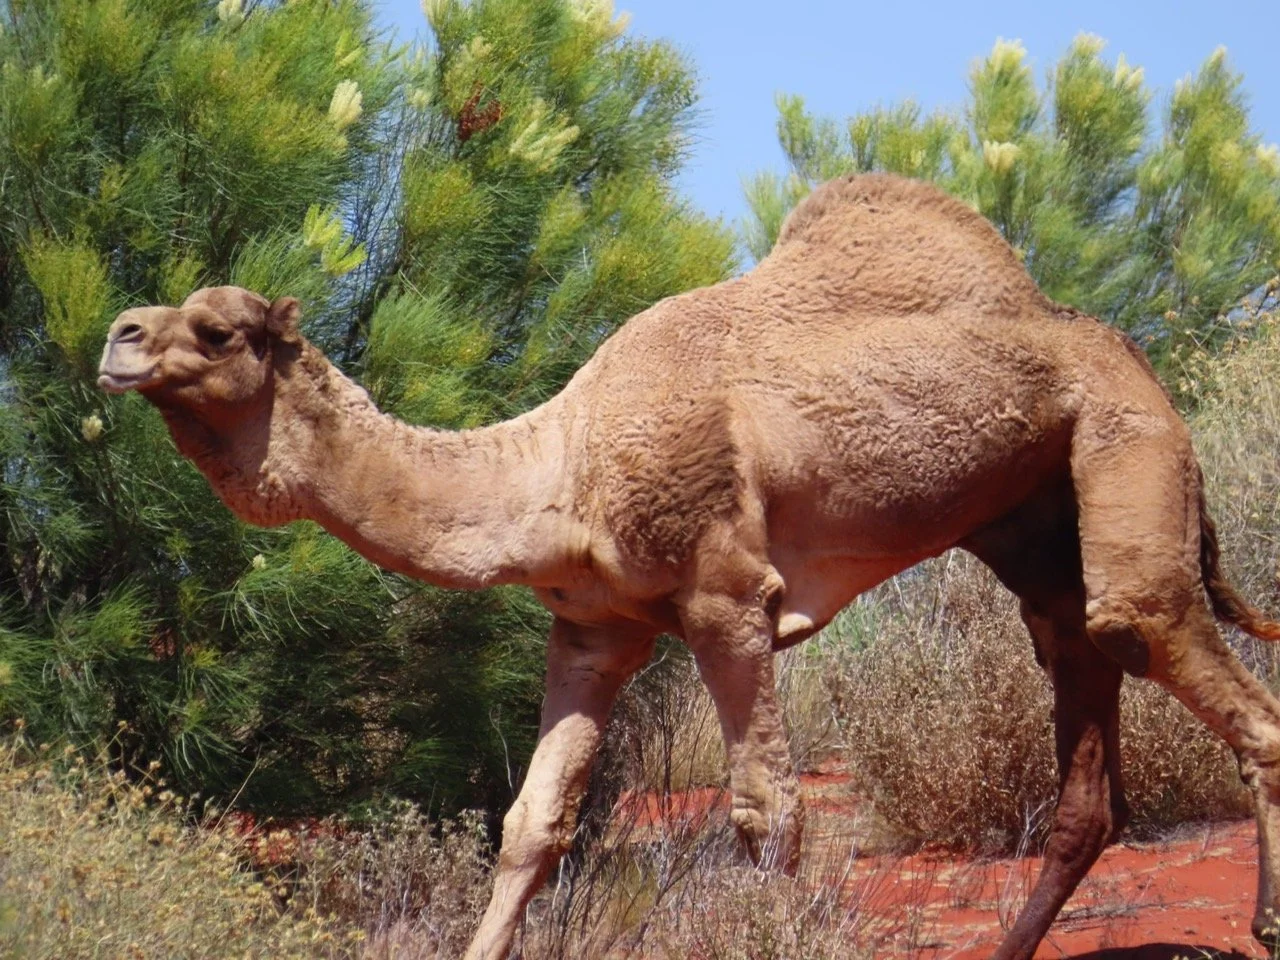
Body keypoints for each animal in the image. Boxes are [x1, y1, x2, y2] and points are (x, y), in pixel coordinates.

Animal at [98, 174, 1280, 959]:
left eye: (217, 330)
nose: (118, 335)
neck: (561, 465)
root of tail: (1120, 345)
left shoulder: (728, 596)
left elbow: (768, 811)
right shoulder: (596, 627)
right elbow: (531, 826)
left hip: (1127, 444)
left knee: (1179, 656)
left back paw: (1264, 923)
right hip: (1034, 522)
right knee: (1081, 735)